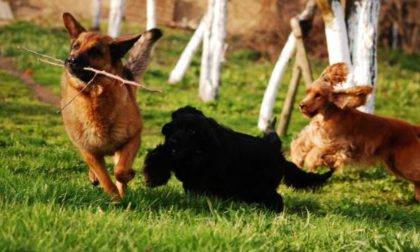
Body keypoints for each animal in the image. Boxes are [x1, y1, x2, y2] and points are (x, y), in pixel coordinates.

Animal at [60, 12, 162, 201]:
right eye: (75, 46)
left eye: (94, 51)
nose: (70, 60)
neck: (94, 98)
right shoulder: (88, 151)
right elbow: (104, 177)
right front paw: (114, 198)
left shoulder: (132, 139)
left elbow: (120, 171)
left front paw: (127, 179)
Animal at [143, 105, 334, 212]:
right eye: (175, 126)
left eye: (192, 131)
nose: (173, 140)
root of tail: (277, 152)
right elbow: (162, 155)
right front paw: (154, 175)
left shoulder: (200, 165)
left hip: (259, 187)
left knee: (276, 198)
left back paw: (274, 212)